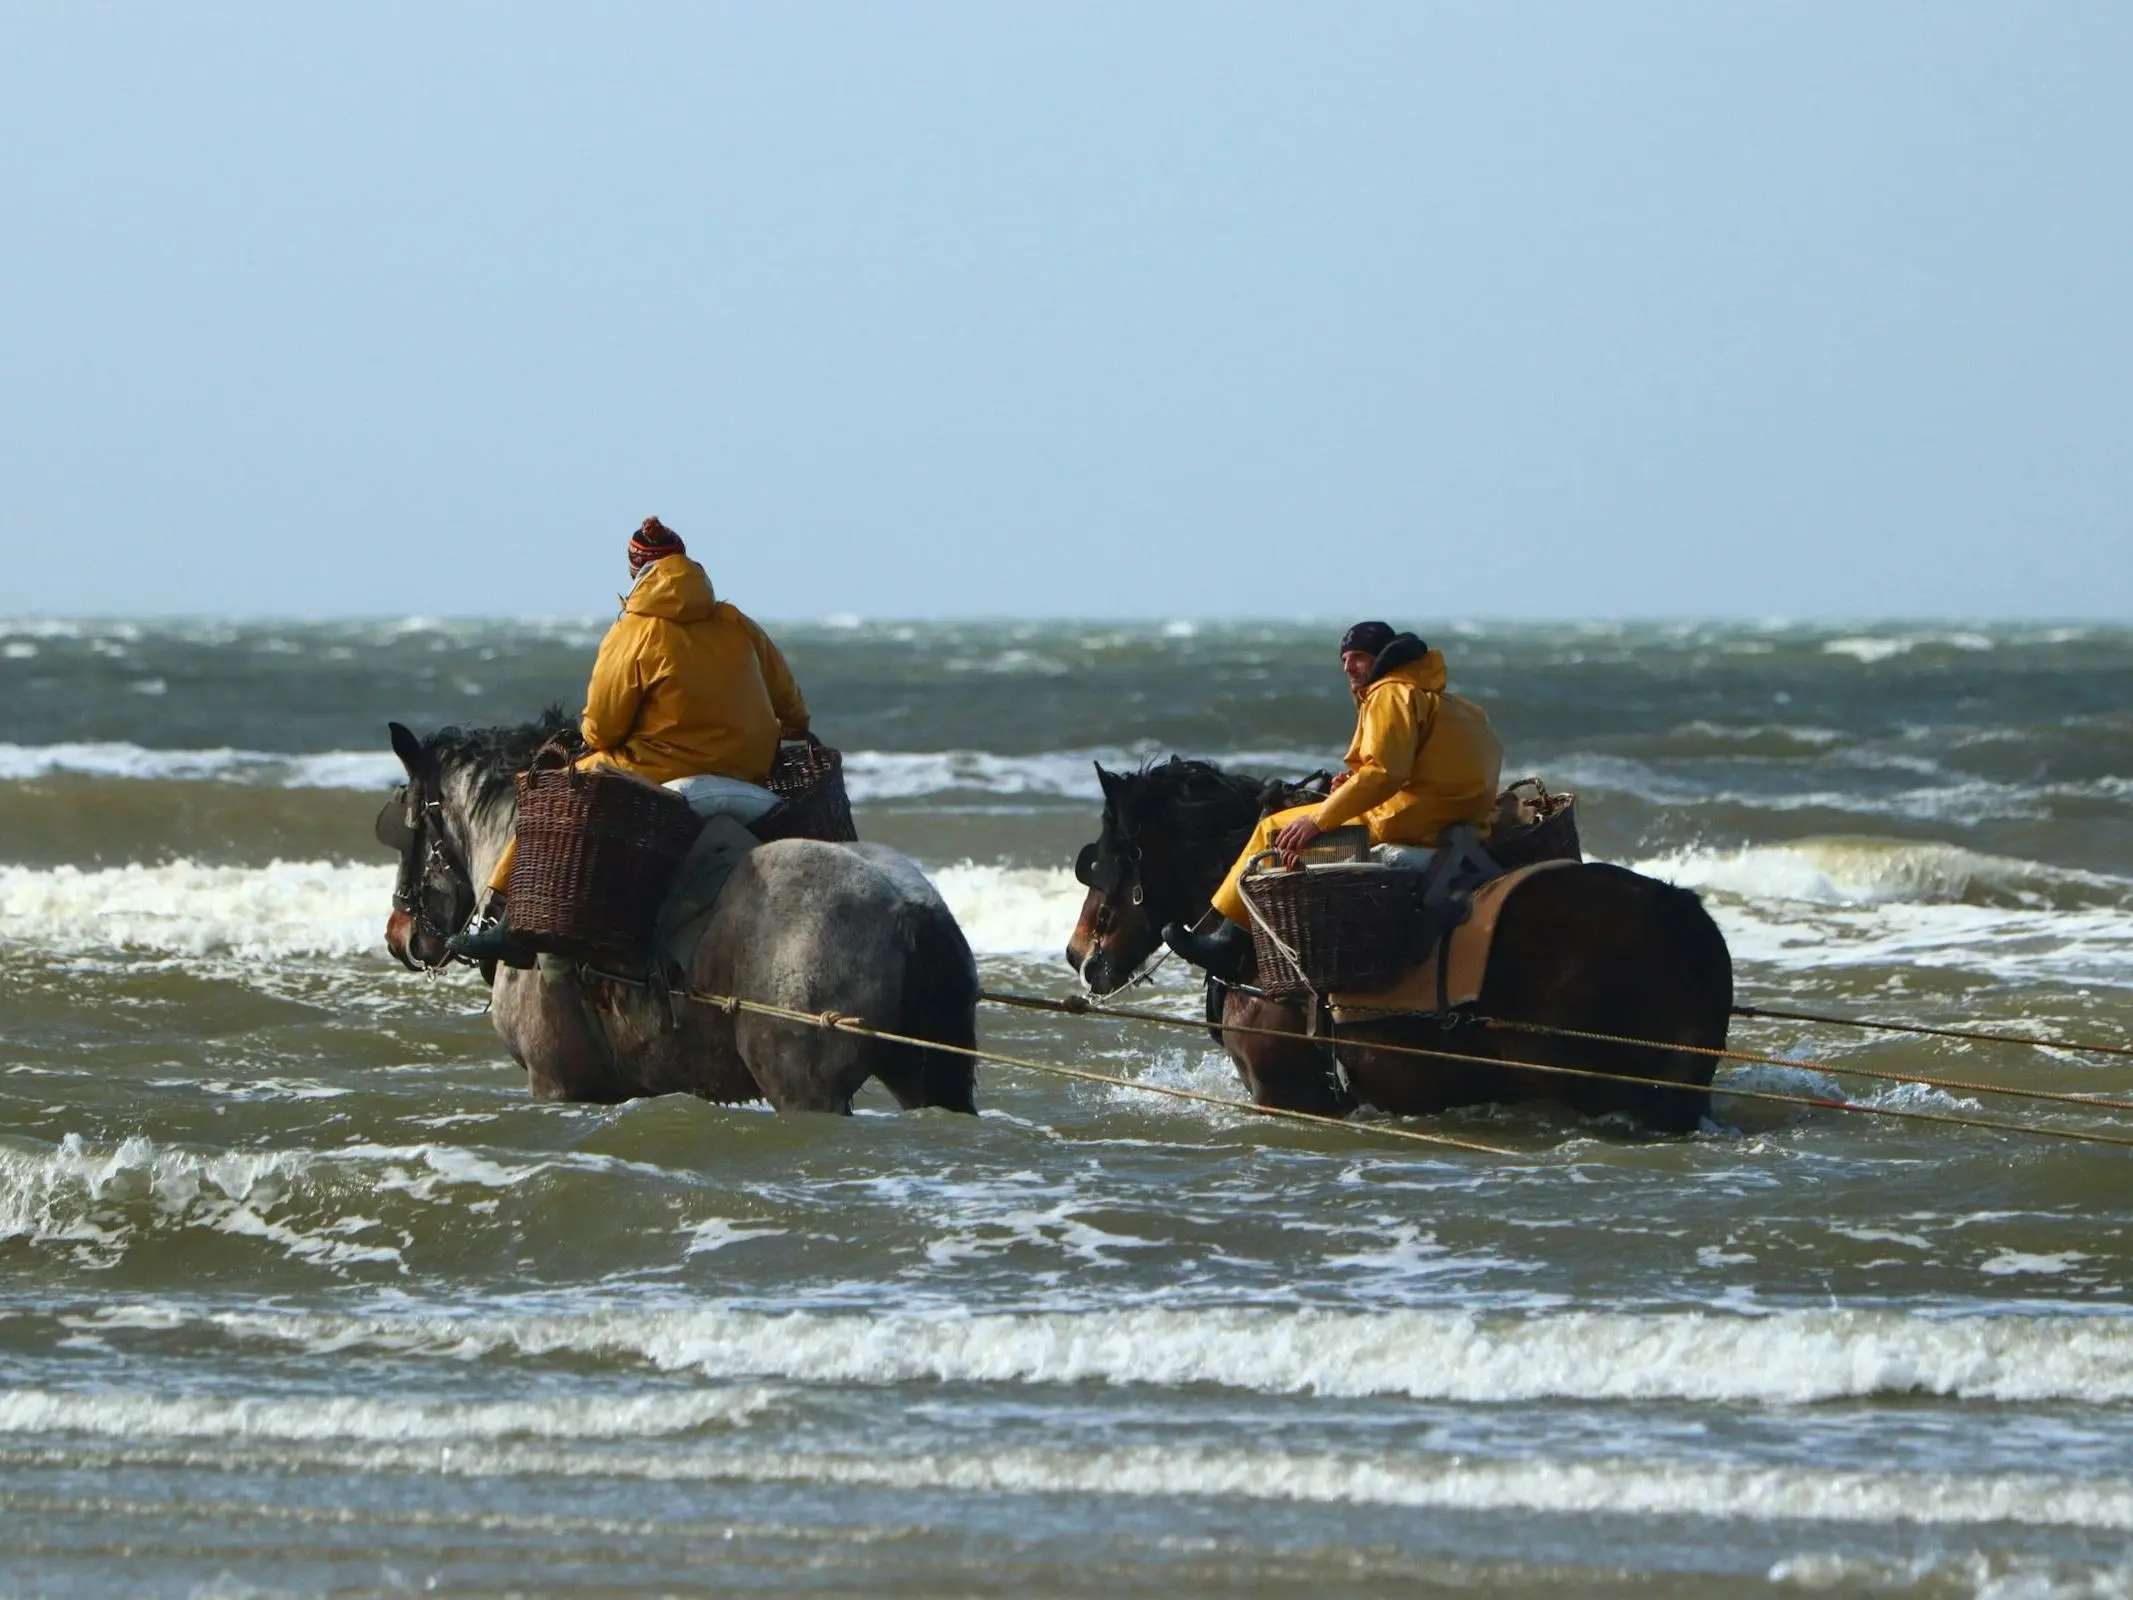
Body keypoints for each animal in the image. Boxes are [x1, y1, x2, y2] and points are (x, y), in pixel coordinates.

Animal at [379, 712, 976, 1117]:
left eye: (407, 823)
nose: (398, 933)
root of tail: (907, 904)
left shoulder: (556, 1085)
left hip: (806, 1091)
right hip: (918, 1079)